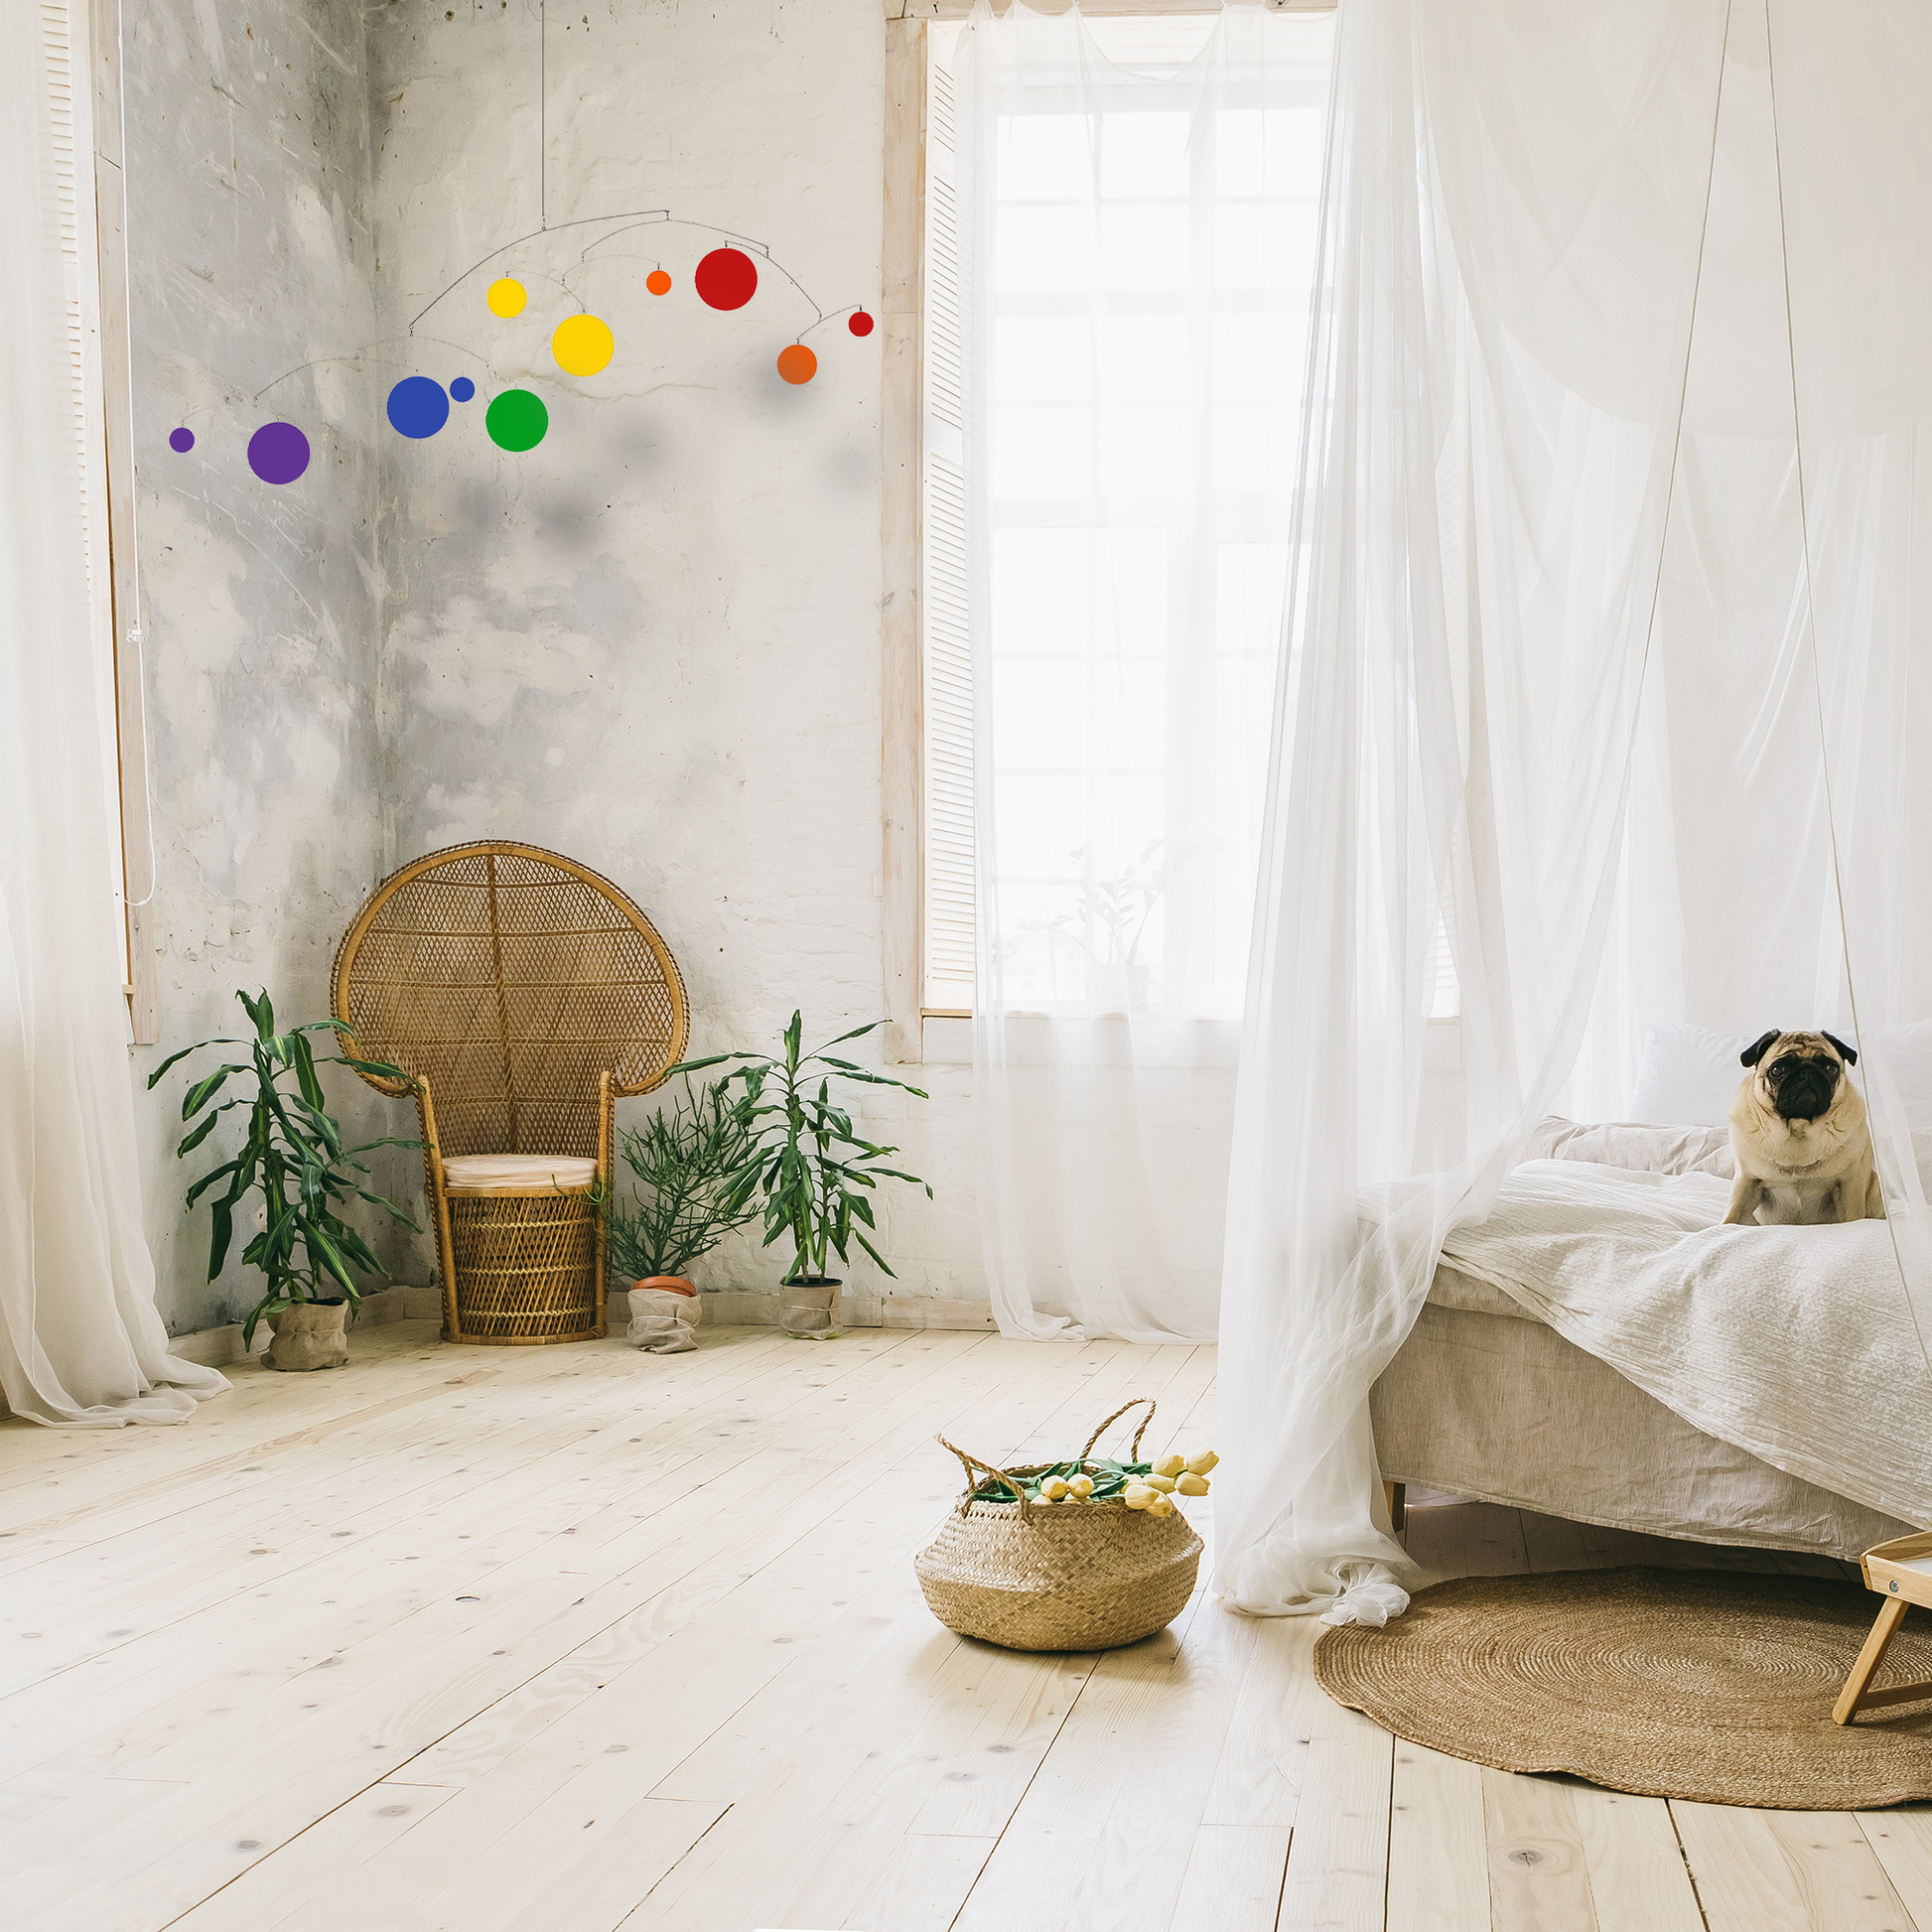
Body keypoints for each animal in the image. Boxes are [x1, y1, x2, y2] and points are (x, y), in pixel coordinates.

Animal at [1730, 1028, 1877, 1220]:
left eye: (1831, 1068)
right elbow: (1732, 1217)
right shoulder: (1747, 1181)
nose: (1807, 1071)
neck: (1798, 1128)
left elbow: (1853, 1218)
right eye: (1777, 1069)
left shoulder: (1849, 1184)